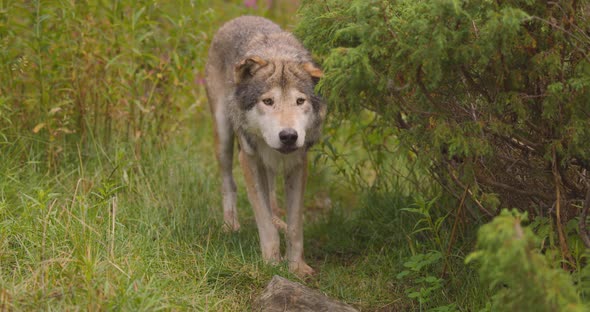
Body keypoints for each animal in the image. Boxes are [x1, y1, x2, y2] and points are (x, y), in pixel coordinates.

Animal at [207, 15, 328, 274]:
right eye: (268, 101)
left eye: (300, 101)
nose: (289, 135)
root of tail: (239, 18)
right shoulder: (249, 160)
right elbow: (264, 222)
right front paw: (271, 264)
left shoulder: (298, 164)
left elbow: (295, 227)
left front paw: (297, 267)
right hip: (224, 139)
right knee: (228, 182)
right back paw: (230, 225)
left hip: (268, 163)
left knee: (271, 192)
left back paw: (277, 220)